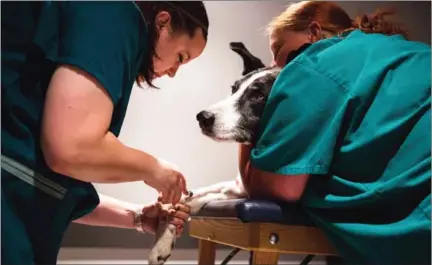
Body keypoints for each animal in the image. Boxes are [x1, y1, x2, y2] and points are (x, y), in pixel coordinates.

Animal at [148, 41, 280, 264]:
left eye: (258, 96)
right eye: (233, 89)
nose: (202, 117)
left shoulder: (248, 192)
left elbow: (193, 200)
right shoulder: (236, 187)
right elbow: (187, 198)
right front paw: (162, 241)